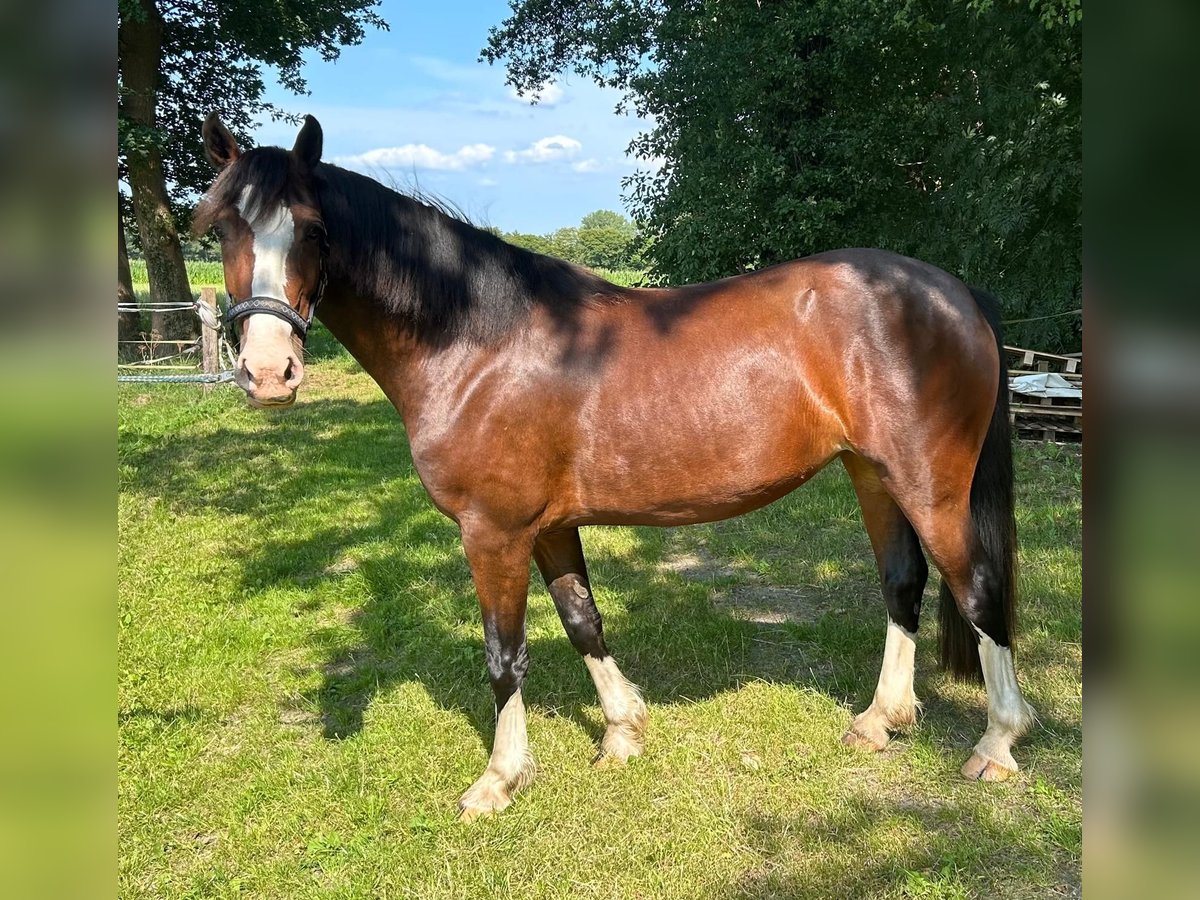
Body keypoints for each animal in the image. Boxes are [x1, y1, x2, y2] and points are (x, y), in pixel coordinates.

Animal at [194, 114, 1032, 825]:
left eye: (311, 230)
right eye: (222, 228)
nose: (268, 374)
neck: (478, 343)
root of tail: (954, 291)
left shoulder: (492, 532)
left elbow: (504, 654)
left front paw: (499, 780)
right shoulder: (548, 526)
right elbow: (581, 620)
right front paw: (623, 732)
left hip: (930, 484)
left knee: (978, 588)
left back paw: (997, 743)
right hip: (871, 474)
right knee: (903, 583)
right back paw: (880, 720)